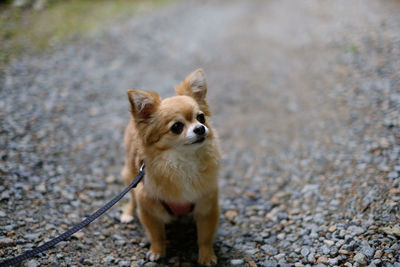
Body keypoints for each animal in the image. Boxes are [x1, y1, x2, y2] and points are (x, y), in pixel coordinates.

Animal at [120, 69, 220, 266]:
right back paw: (127, 214)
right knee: (131, 197)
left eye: (201, 117)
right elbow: (156, 234)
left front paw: (206, 256)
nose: (200, 128)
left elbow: (205, 237)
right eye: (177, 127)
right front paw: (157, 251)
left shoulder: (207, 206)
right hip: (130, 176)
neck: (184, 162)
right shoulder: (148, 208)